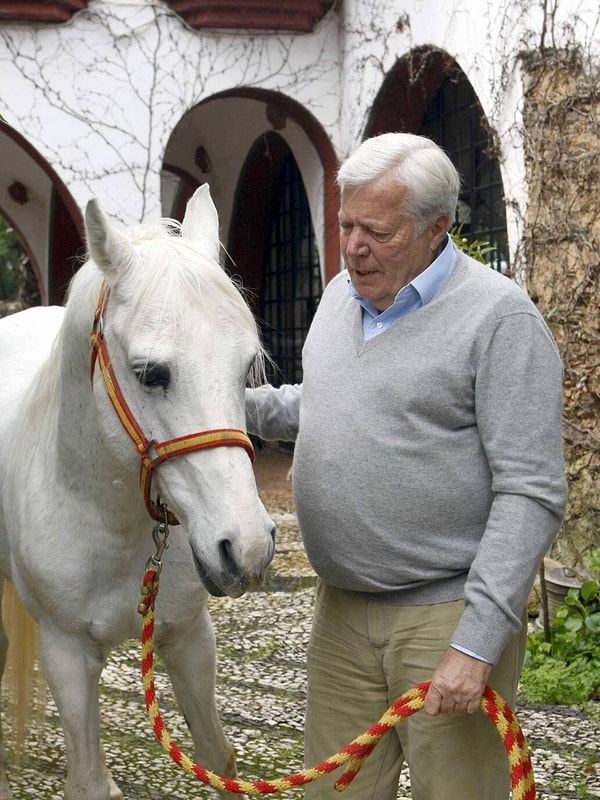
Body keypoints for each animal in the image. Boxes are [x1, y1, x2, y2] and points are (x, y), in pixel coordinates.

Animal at [0, 184, 276, 796]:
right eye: (150, 373)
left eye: (246, 365)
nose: (247, 549)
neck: (111, 521)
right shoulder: (66, 653)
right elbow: (88, 782)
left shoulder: (189, 637)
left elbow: (217, 758)